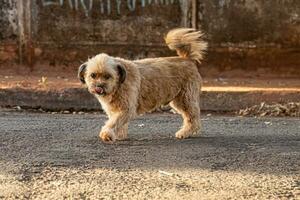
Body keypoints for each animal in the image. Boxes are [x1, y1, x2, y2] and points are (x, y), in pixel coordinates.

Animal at [78, 28, 207, 142]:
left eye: (108, 76)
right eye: (93, 75)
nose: (98, 86)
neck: (118, 85)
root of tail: (187, 59)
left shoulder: (126, 109)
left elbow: (113, 122)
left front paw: (107, 134)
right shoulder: (115, 110)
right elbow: (119, 123)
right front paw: (119, 135)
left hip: (185, 99)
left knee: (193, 119)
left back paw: (185, 132)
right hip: (178, 101)